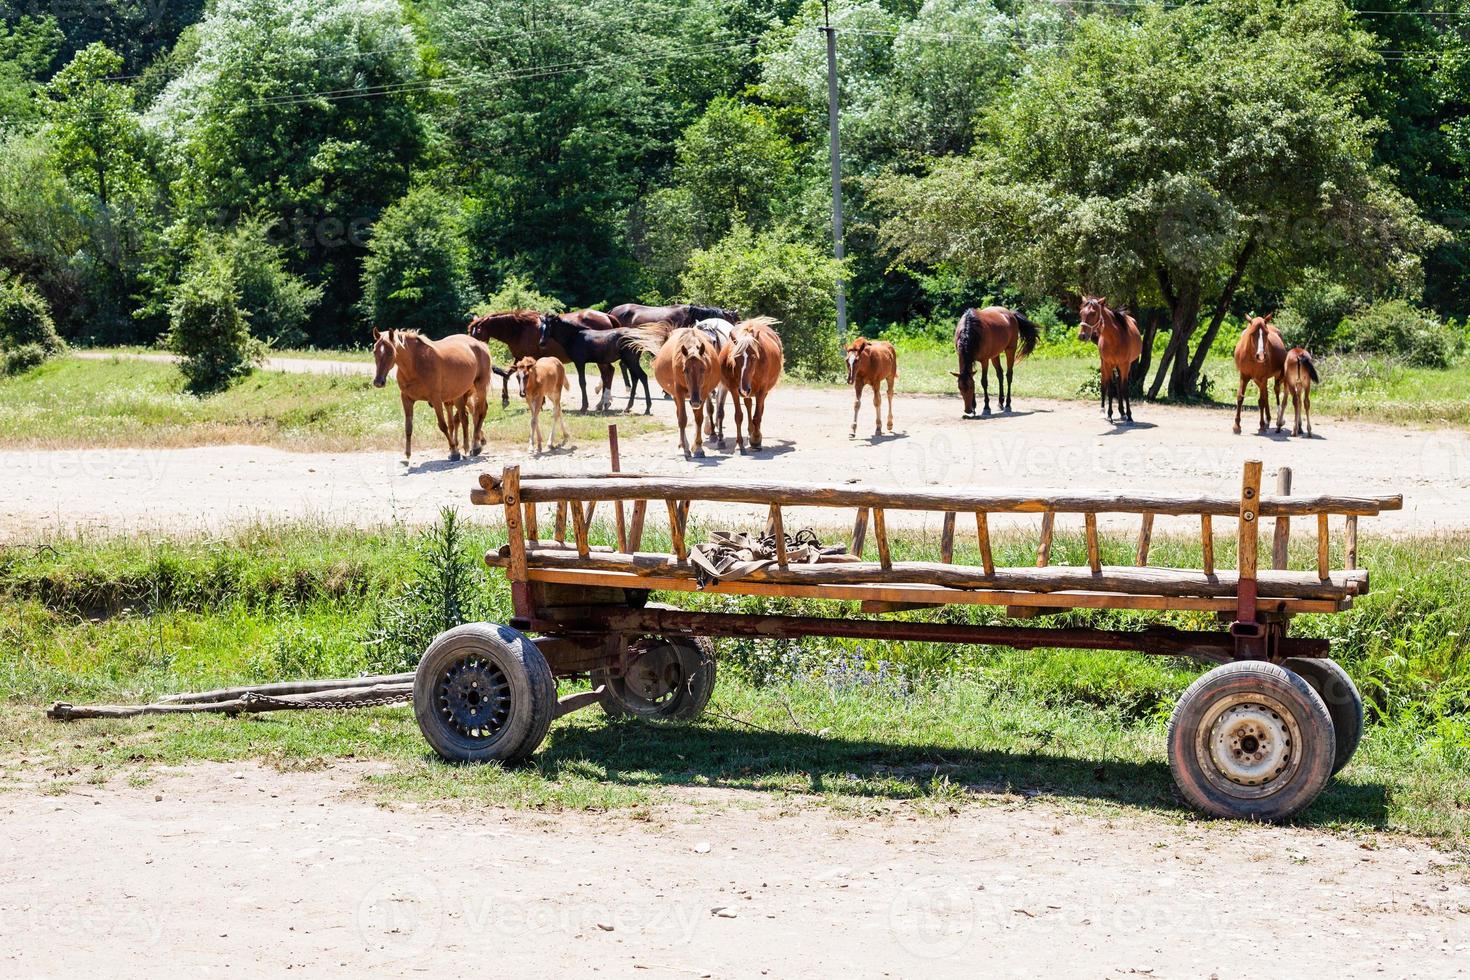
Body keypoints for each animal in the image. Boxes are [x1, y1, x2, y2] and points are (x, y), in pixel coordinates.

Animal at [370, 329, 490, 464]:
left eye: (391, 352)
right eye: (374, 351)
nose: (378, 382)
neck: (416, 365)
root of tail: (480, 344)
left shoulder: (436, 399)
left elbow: (443, 426)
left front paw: (454, 452)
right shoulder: (406, 399)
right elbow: (408, 427)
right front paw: (407, 455)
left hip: (480, 387)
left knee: (480, 412)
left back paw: (475, 446)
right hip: (459, 394)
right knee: (464, 417)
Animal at [623, 321, 720, 461]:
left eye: (703, 369)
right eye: (685, 370)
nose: (695, 401)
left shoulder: (702, 393)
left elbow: (698, 419)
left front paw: (698, 448)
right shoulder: (679, 393)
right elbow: (682, 419)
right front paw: (685, 449)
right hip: (676, 396)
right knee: (679, 415)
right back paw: (683, 444)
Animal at [720, 318, 787, 455]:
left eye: (754, 357)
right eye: (736, 358)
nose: (745, 389)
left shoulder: (761, 389)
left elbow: (757, 416)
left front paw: (756, 440)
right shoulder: (734, 389)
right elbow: (738, 416)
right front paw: (739, 445)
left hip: (761, 391)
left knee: (760, 410)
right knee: (748, 404)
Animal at [1076, 295, 1140, 426]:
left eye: (1093, 313)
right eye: (1081, 313)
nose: (1082, 336)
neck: (1115, 338)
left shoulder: (1125, 365)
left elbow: (1125, 389)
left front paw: (1129, 416)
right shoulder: (1108, 363)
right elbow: (1110, 388)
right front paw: (1110, 415)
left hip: (1121, 366)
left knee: (1120, 384)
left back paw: (1122, 412)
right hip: (1105, 364)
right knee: (1104, 383)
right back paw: (1103, 410)